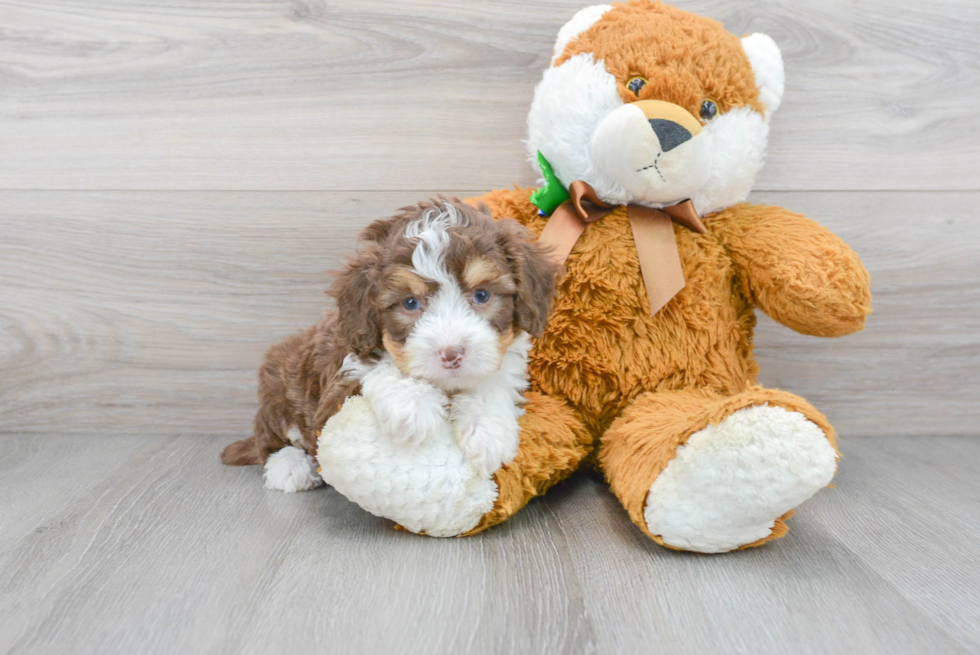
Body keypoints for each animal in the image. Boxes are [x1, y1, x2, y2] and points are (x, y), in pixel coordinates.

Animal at [222, 199, 560, 492]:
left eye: (482, 295)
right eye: (410, 303)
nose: (451, 354)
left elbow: (493, 382)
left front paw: (487, 429)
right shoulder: (338, 385)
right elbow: (376, 369)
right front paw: (413, 405)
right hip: (280, 378)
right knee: (275, 439)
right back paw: (289, 467)